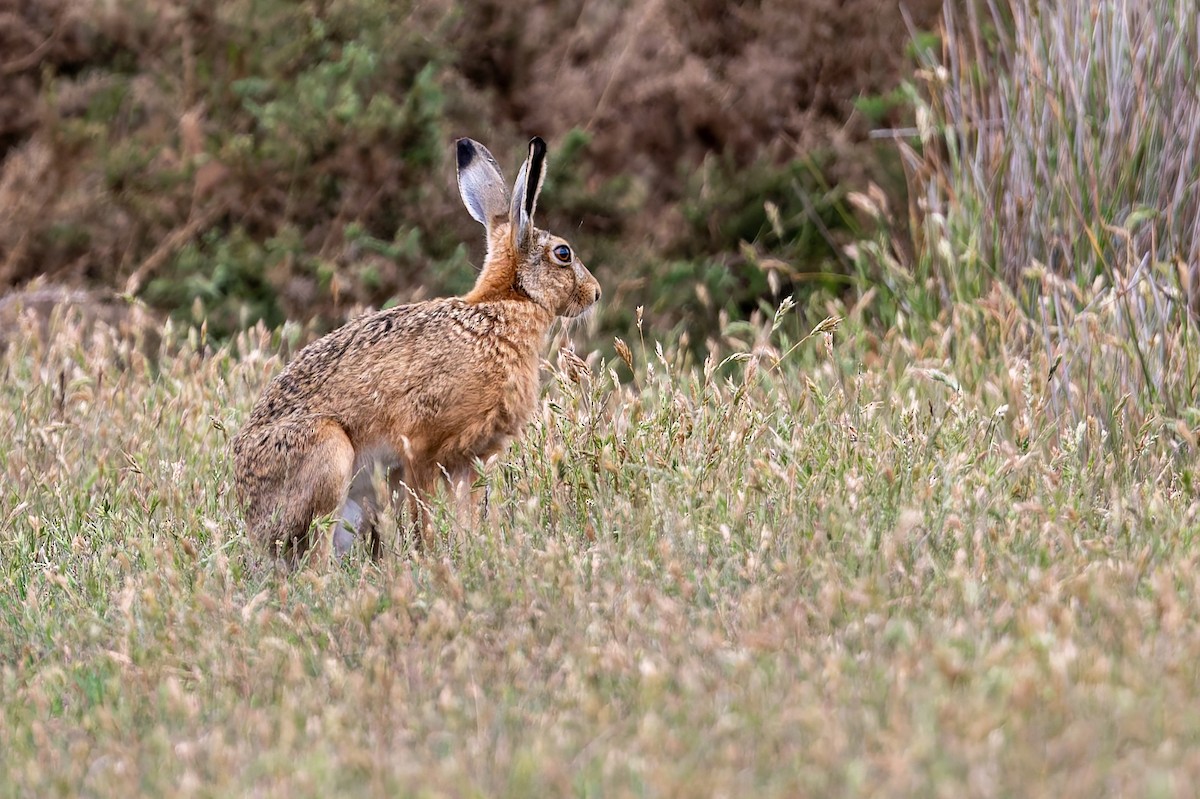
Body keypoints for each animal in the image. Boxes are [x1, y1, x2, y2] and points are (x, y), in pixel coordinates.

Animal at [232, 136, 601, 569]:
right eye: (563, 254)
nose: (595, 293)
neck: (502, 307)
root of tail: (255, 521)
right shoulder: (422, 447)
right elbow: (423, 512)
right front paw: (431, 556)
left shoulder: (468, 460)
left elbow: (466, 513)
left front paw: (468, 551)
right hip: (329, 453)